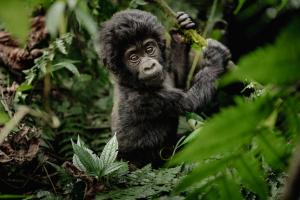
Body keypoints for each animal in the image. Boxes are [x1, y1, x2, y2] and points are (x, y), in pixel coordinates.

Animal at [99, 9, 231, 166]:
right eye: (133, 57)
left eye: (149, 49)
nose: (149, 66)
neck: (130, 82)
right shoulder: (142, 99)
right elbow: (190, 102)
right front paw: (216, 59)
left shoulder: (166, 73)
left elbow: (179, 78)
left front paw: (181, 31)